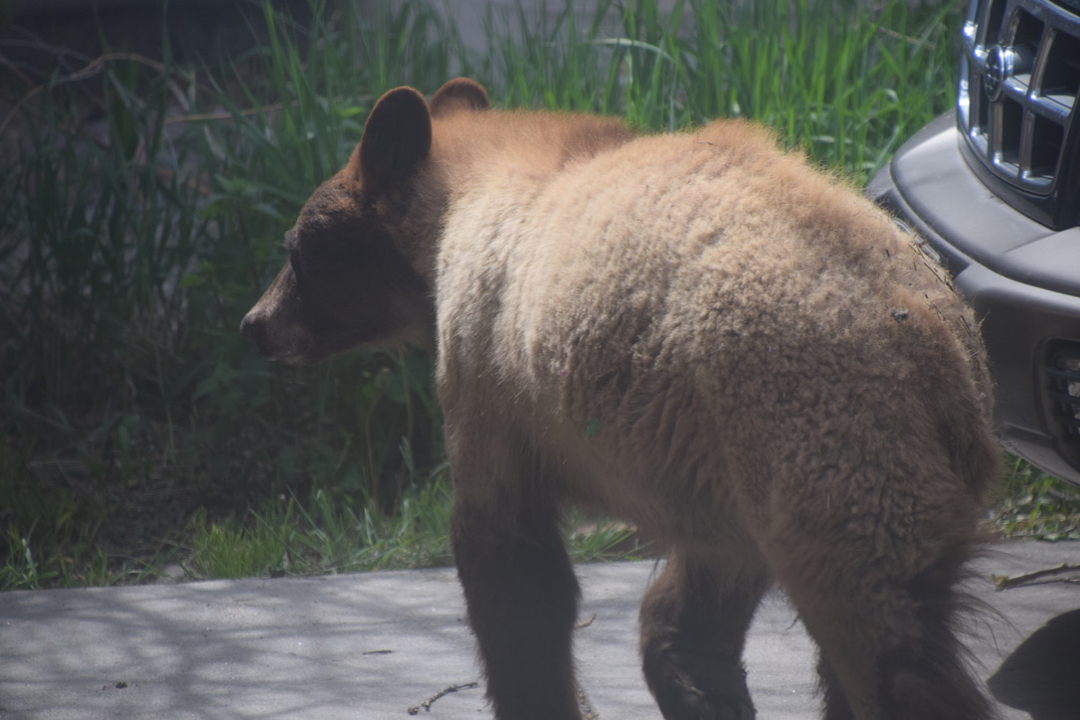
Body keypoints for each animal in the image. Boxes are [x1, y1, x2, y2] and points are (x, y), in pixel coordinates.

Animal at [240, 78, 997, 720]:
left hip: (828, 423)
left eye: (295, 248)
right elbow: (704, 580)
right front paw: (700, 684)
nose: (255, 325)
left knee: (885, 640)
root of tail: (932, 337)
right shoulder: (715, 455)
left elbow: (508, 554)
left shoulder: (490, 367)